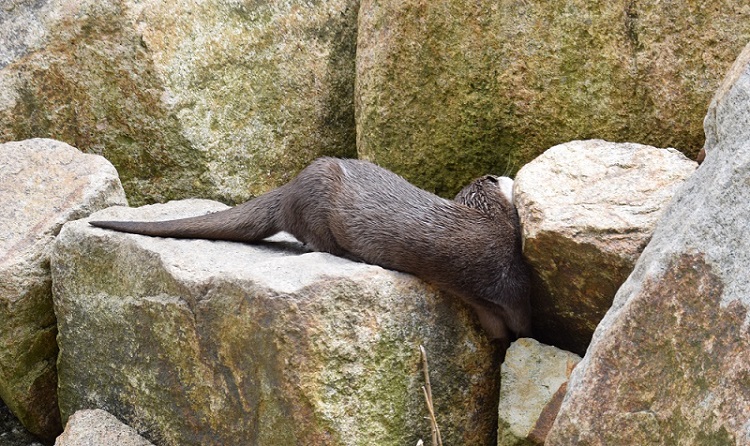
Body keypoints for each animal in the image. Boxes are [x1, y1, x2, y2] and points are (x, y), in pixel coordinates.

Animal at [91, 159, 532, 344]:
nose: (506, 170)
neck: (482, 222)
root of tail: (290, 187)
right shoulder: (502, 269)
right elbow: (516, 311)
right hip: (319, 203)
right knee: (316, 240)